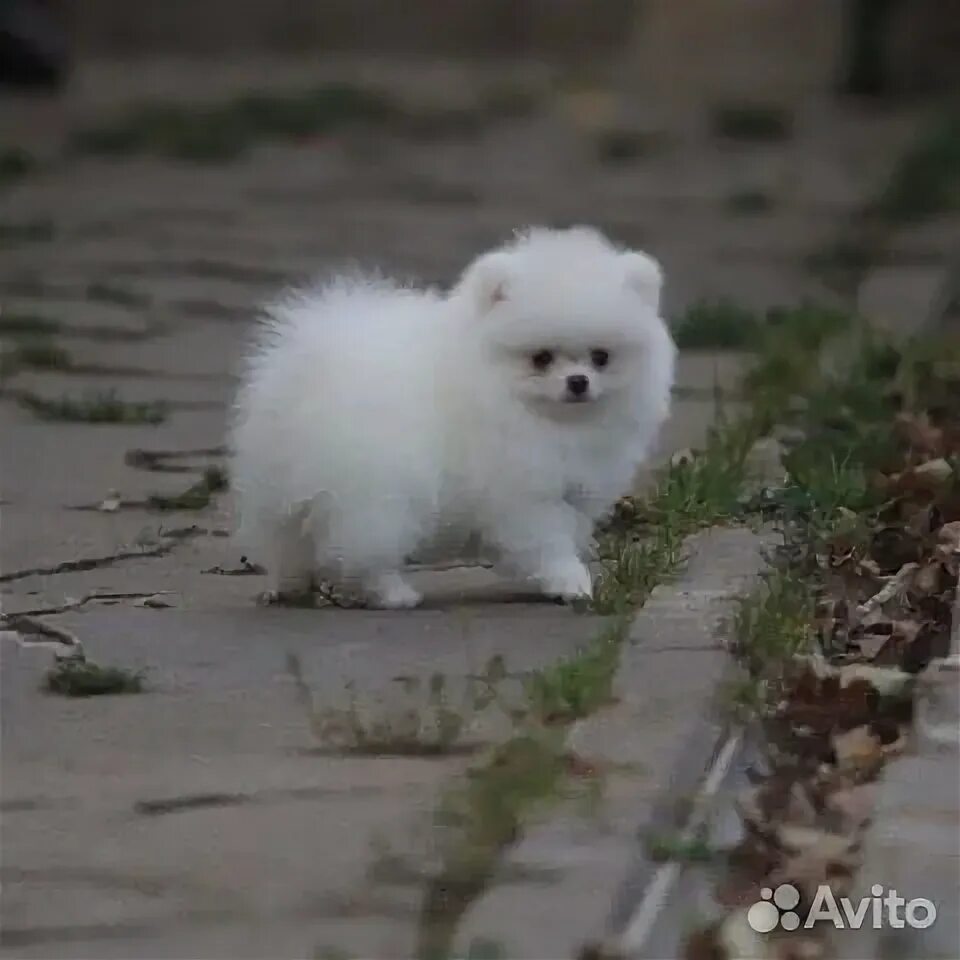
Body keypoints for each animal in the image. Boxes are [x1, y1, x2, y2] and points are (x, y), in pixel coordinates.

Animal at [229, 227, 676, 608]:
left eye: (601, 357)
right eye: (541, 358)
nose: (578, 381)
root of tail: (306, 370)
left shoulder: (572, 490)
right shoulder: (523, 494)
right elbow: (548, 542)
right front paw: (570, 581)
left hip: (289, 492)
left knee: (291, 542)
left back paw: (291, 587)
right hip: (375, 494)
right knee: (365, 549)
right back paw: (393, 594)